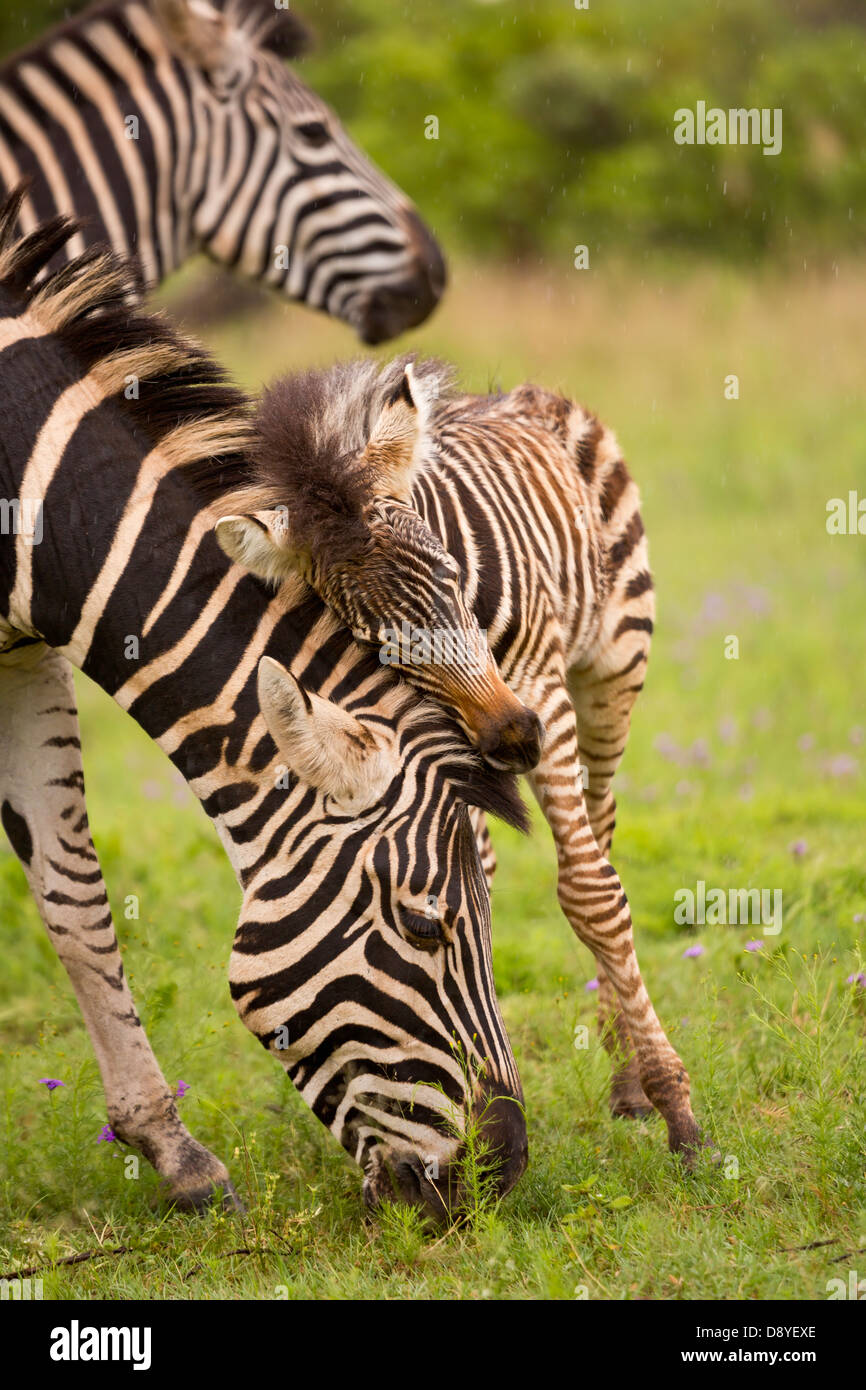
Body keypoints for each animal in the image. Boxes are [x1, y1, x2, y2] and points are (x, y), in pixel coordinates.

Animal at [215, 355, 706, 1162]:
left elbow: (591, 894)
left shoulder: (540, 688)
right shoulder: (448, 725)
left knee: (600, 832)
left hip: (612, 670)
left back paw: (627, 1075)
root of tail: (513, 395)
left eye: (448, 574)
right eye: (372, 638)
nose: (512, 738)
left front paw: (674, 1108)